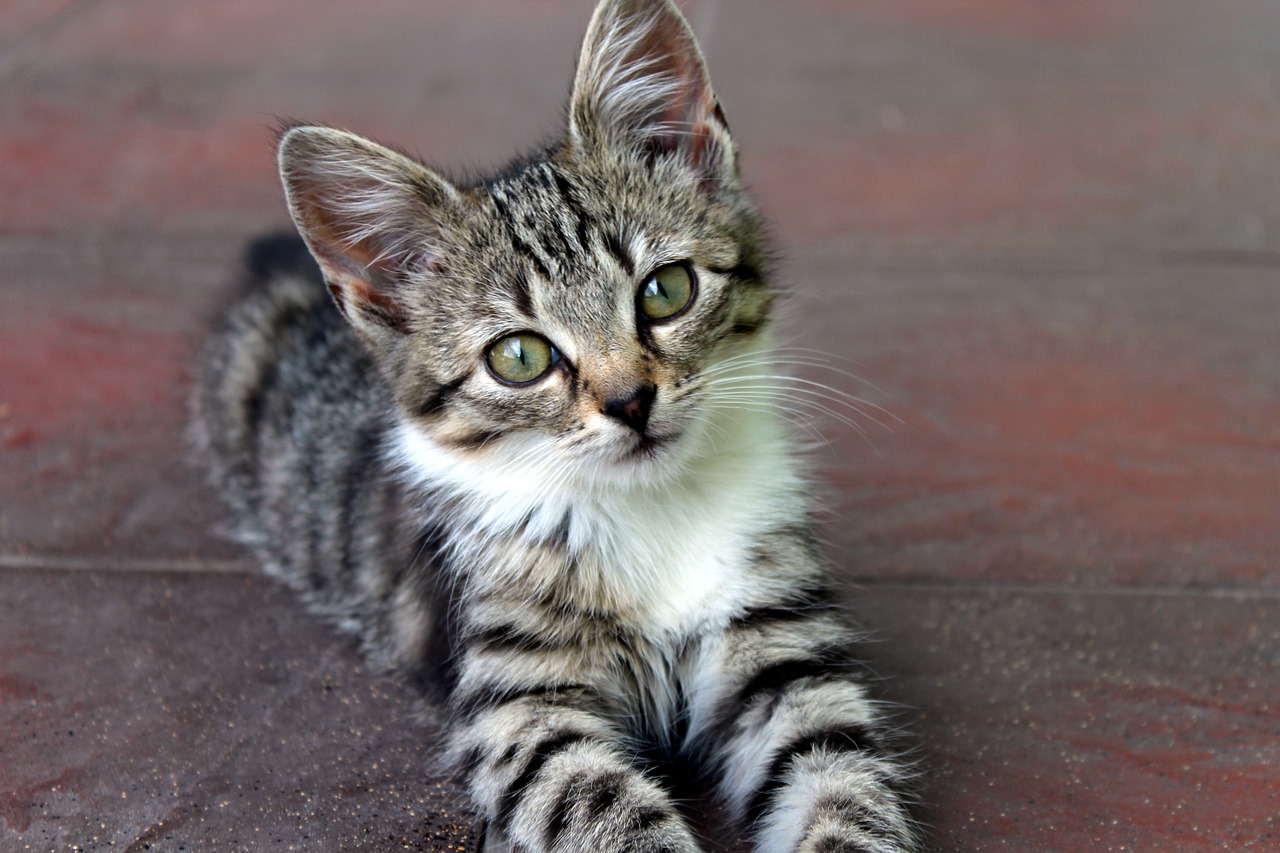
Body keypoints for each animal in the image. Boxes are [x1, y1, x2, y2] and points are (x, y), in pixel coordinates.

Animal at [194, 1, 921, 850]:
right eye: (519, 356)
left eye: (666, 289)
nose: (630, 401)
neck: (651, 508)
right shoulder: (519, 706)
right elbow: (604, 807)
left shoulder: (783, 651)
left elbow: (842, 778)